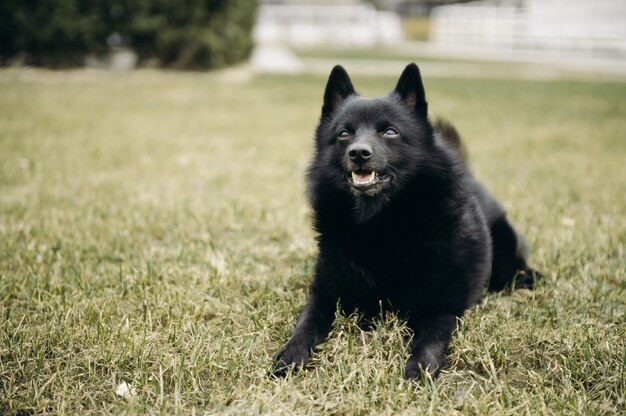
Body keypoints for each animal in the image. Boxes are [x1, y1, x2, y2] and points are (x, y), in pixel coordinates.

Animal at [274, 63, 540, 378]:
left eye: (390, 131)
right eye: (344, 134)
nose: (359, 153)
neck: (381, 224)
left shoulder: (441, 306)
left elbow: (431, 339)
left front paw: (419, 369)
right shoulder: (325, 294)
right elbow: (306, 322)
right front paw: (293, 351)